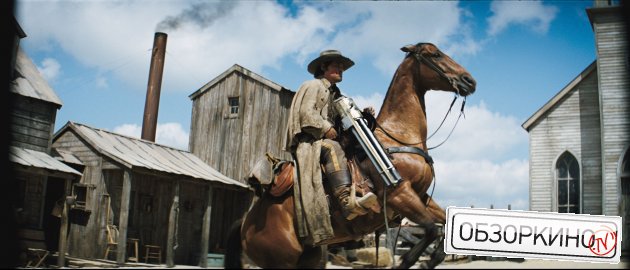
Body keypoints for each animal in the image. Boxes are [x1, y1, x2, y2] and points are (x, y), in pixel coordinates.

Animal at [227, 43, 478, 268]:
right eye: (434, 54)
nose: (469, 81)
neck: (400, 137)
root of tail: (245, 222)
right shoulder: (400, 194)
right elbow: (431, 229)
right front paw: (411, 261)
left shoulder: (422, 196)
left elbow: (443, 227)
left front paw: (430, 259)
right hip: (281, 262)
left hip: (309, 258)